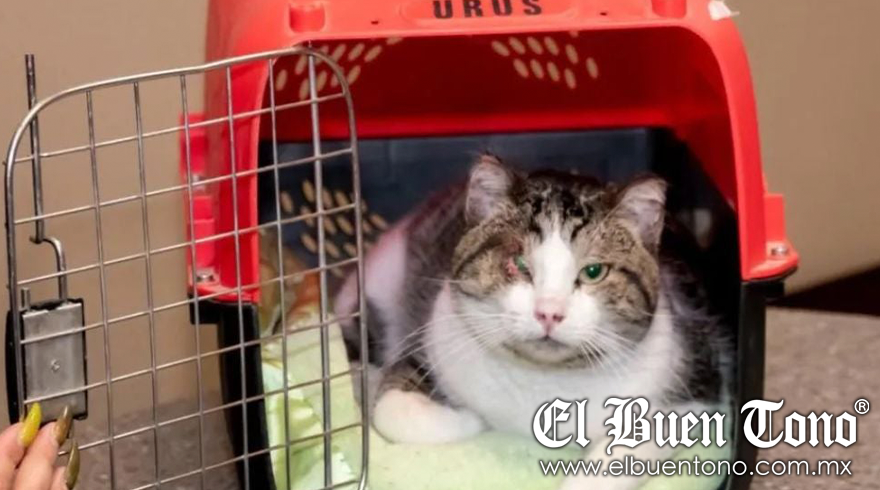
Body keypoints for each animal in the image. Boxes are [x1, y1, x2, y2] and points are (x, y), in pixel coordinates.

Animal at [335, 154, 732, 489]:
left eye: (593, 272)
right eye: (519, 264)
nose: (549, 312)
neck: (541, 381)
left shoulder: (696, 391)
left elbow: (623, 455)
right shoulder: (430, 343)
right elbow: (391, 410)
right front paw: (471, 420)